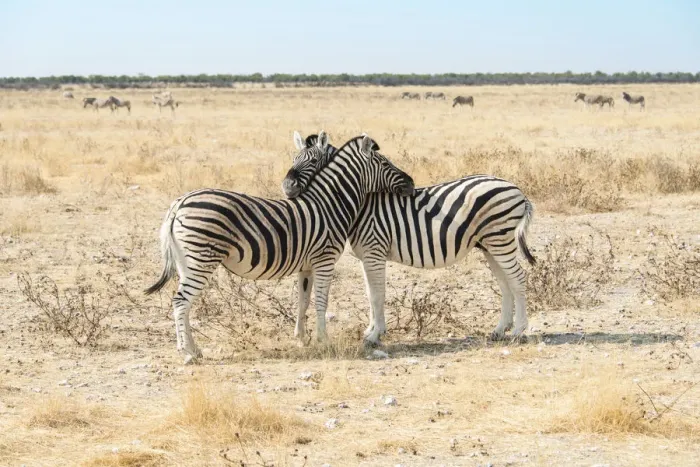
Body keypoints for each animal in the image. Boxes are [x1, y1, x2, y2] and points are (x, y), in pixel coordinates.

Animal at [144, 132, 415, 363]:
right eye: (384, 163)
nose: (411, 183)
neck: (330, 204)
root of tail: (179, 203)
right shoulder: (325, 260)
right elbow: (322, 301)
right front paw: (323, 340)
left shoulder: (307, 266)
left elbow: (303, 301)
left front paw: (302, 339)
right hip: (201, 258)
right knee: (181, 301)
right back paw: (188, 352)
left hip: (186, 261)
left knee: (183, 302)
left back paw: (193, 349)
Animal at [285, 135, 536, 345]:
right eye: (294, 158)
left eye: (313, 160)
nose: (287, 187)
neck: (362, 204)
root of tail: (517, 190)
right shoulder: (366, 257)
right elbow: (369, 293)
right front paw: (370, 330)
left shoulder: (374, 252)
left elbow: (377, 294)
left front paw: (375, 335)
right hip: (489, 245)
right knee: (505, 282)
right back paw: (500, 330)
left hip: (501, 240)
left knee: (518, 278)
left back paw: (518, 331)